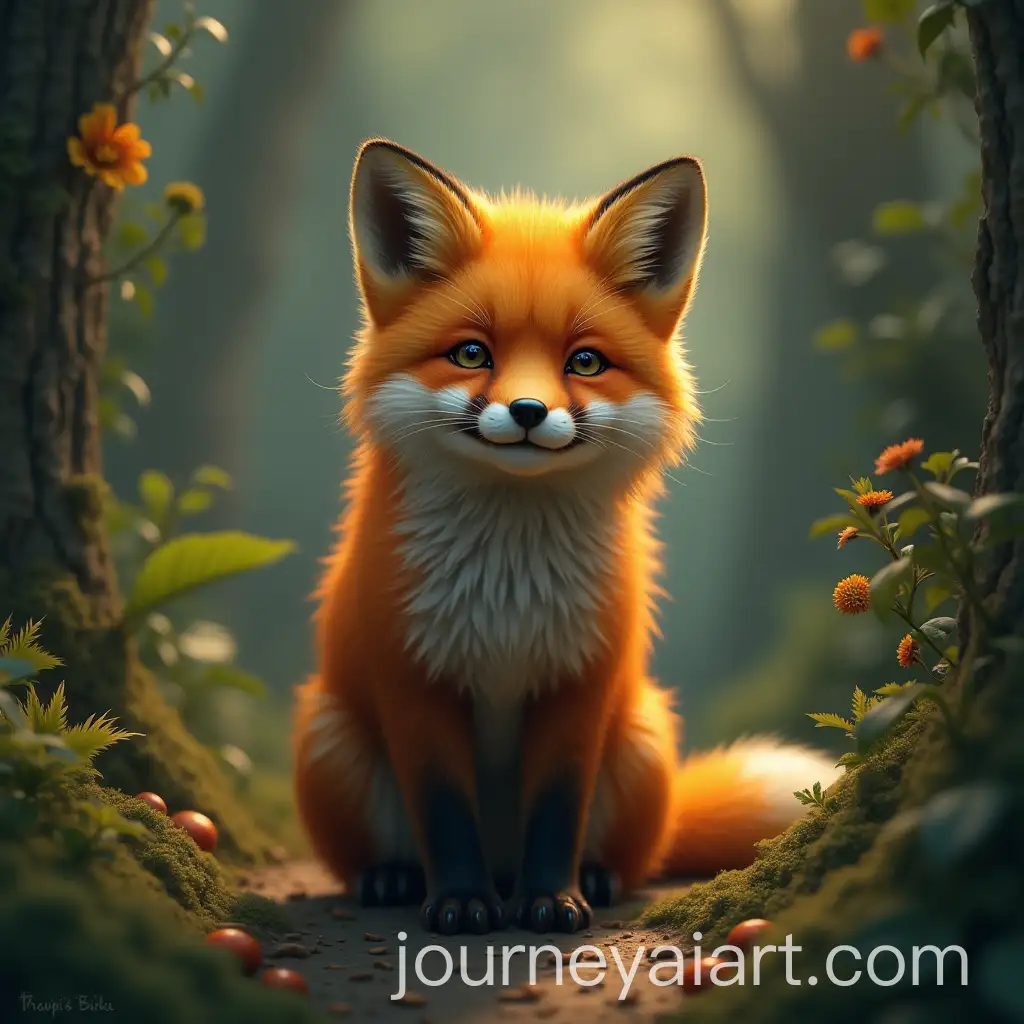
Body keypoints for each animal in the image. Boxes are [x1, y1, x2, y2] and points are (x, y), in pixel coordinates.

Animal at [293, 139, 840, 936]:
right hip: (329, 740)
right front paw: (459, 903)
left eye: (584, 362)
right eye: (471, 354)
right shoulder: (414, 680)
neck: (506, 590)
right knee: (392, 849)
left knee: (636, 856)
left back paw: (595, 878)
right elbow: (444, 814)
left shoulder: (579, 681)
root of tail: (503, 860)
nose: (528, 411)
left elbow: (557, 811)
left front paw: (553, 900)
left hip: (641, 740)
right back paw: (395, 878)